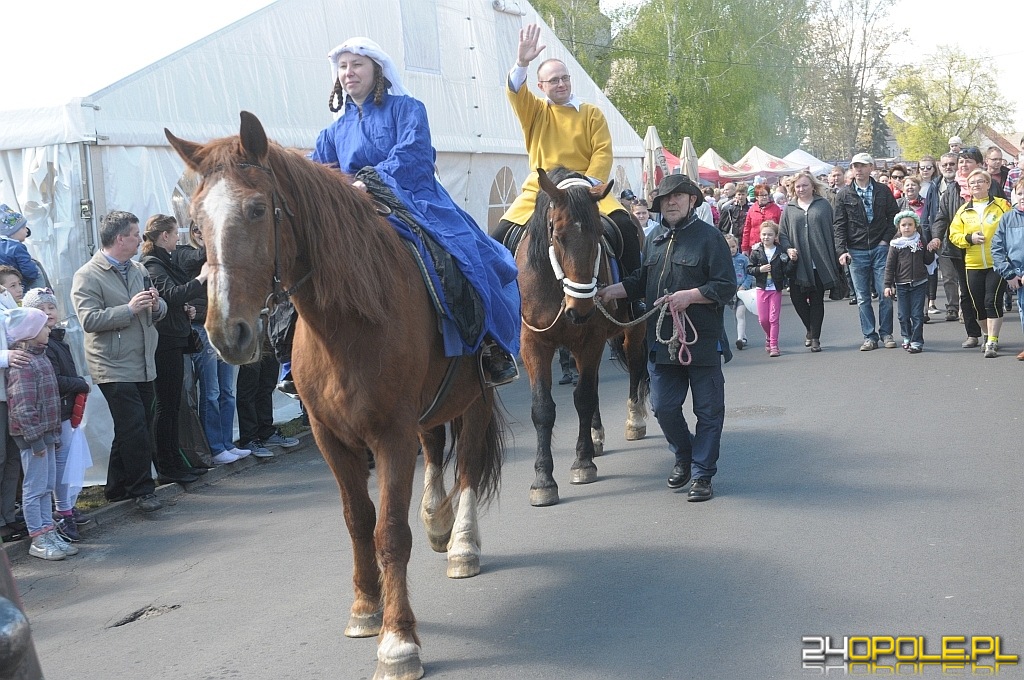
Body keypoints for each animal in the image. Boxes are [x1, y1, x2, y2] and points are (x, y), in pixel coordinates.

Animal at [165, 112, 505, 680]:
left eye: (257, 209)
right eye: (195, 224)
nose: (226, 333)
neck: (348, 321)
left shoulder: (390, 437)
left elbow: (390, 532)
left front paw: (398, 641)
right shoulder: (332, 438)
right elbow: (357, 522)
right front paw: (366, 608)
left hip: (474, 397)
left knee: (469, 469)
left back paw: (461, 544)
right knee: (437, 451)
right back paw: (436, 519)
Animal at [516, 165, 651, 503]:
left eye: (598, 235)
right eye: (558, 236)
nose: (581, 309)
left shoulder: (589, 340)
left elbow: (584, 397)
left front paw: (582, 462)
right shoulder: (533, 343)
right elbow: (543, 408)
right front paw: (543, 480)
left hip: (633, 329)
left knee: (634, 365)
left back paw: (633, 420)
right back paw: (596, 434)